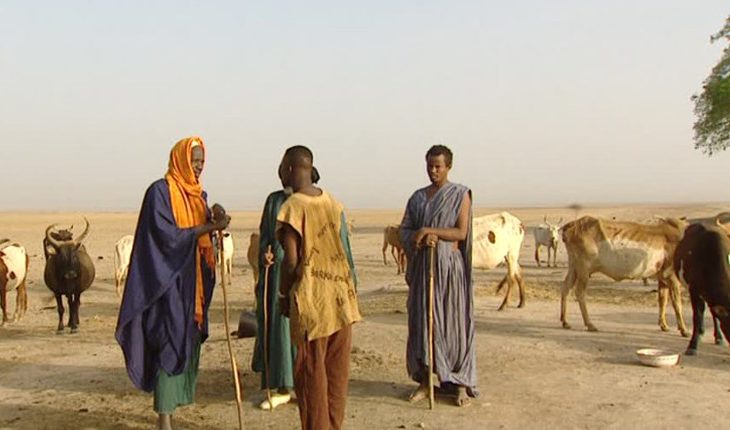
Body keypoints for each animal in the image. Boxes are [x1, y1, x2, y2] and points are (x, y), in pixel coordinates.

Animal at [556, 215, 688, 336]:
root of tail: (572, 225)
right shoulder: (672, 277)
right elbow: (677, 304)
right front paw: (684, 329)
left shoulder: (663, 279)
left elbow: (662, 300)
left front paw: (664, 325)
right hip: (584, 269)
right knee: (580, 292)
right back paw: (589, 324)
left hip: (574, 266)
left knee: (565, 287)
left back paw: (565, 321)